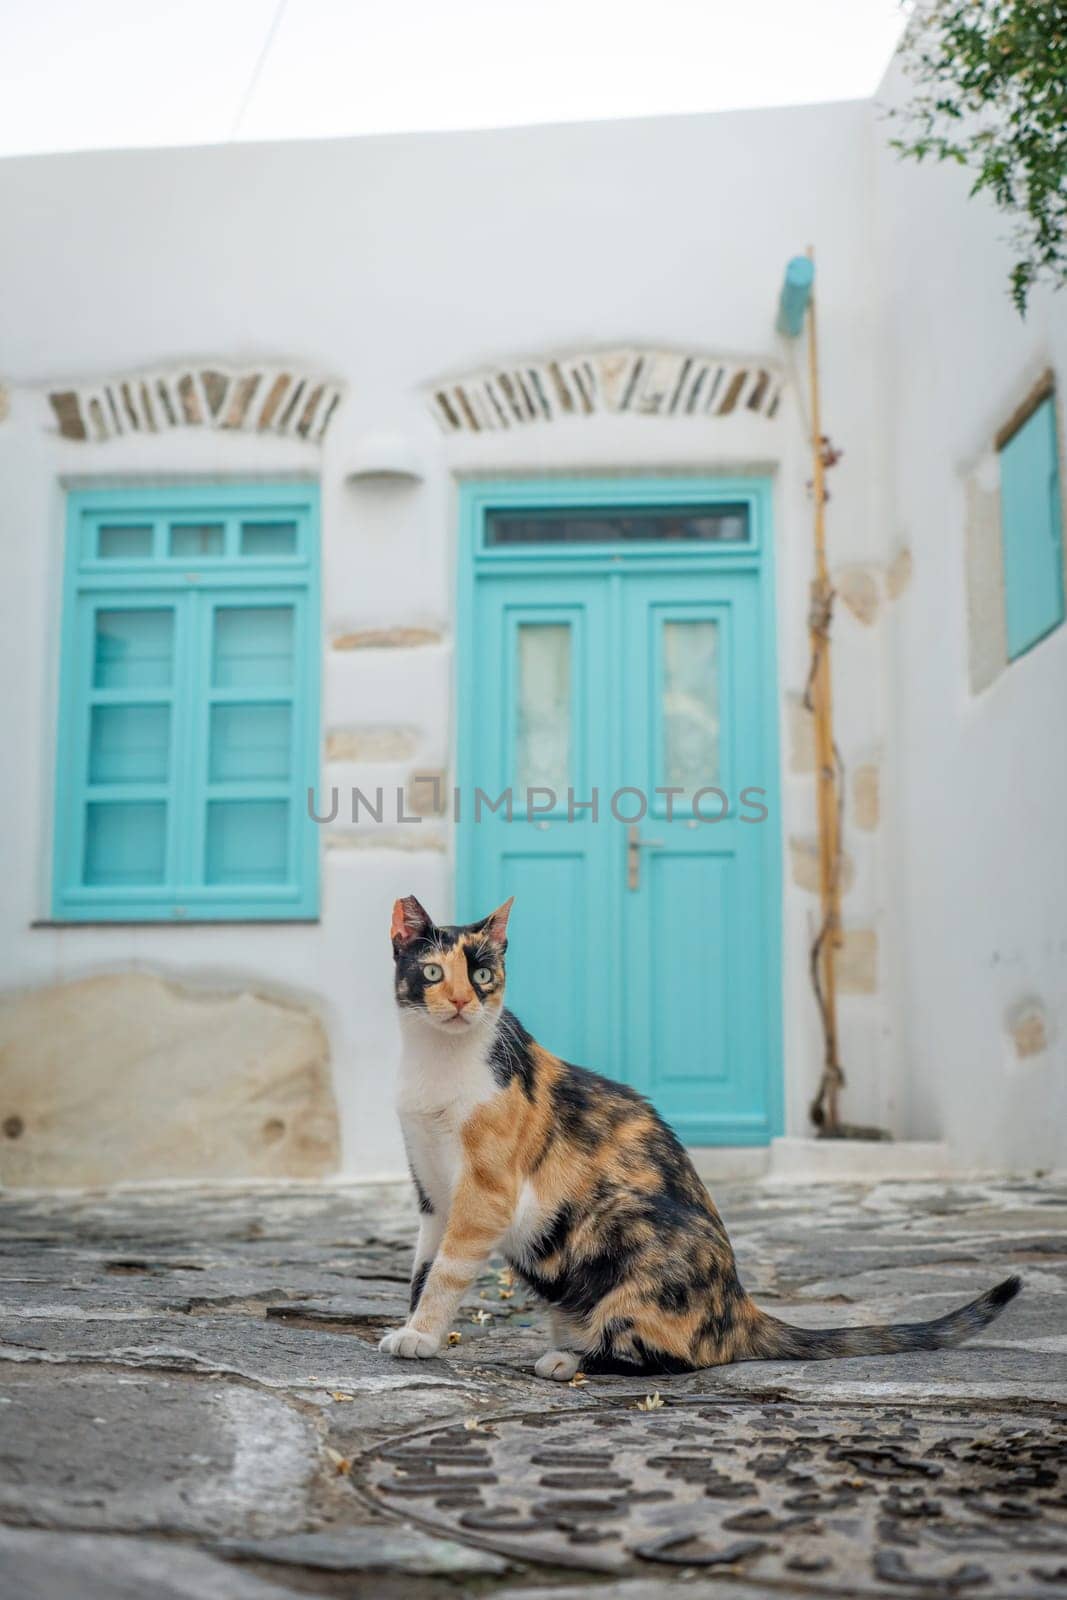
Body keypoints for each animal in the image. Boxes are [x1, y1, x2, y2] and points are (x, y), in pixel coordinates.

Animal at [379, 896, 1023, 1382]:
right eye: (433, 972)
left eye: (483, 974)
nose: (461, 1001)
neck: (438, 1066)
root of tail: (739, 1304)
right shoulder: (432, 1195)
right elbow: (422, 1269)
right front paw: (412, 1330)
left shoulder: (485, 1194)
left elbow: (447, 1272)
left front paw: (421, 1336)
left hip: (630, 1236)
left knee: (676, 1357)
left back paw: (568, 1359)